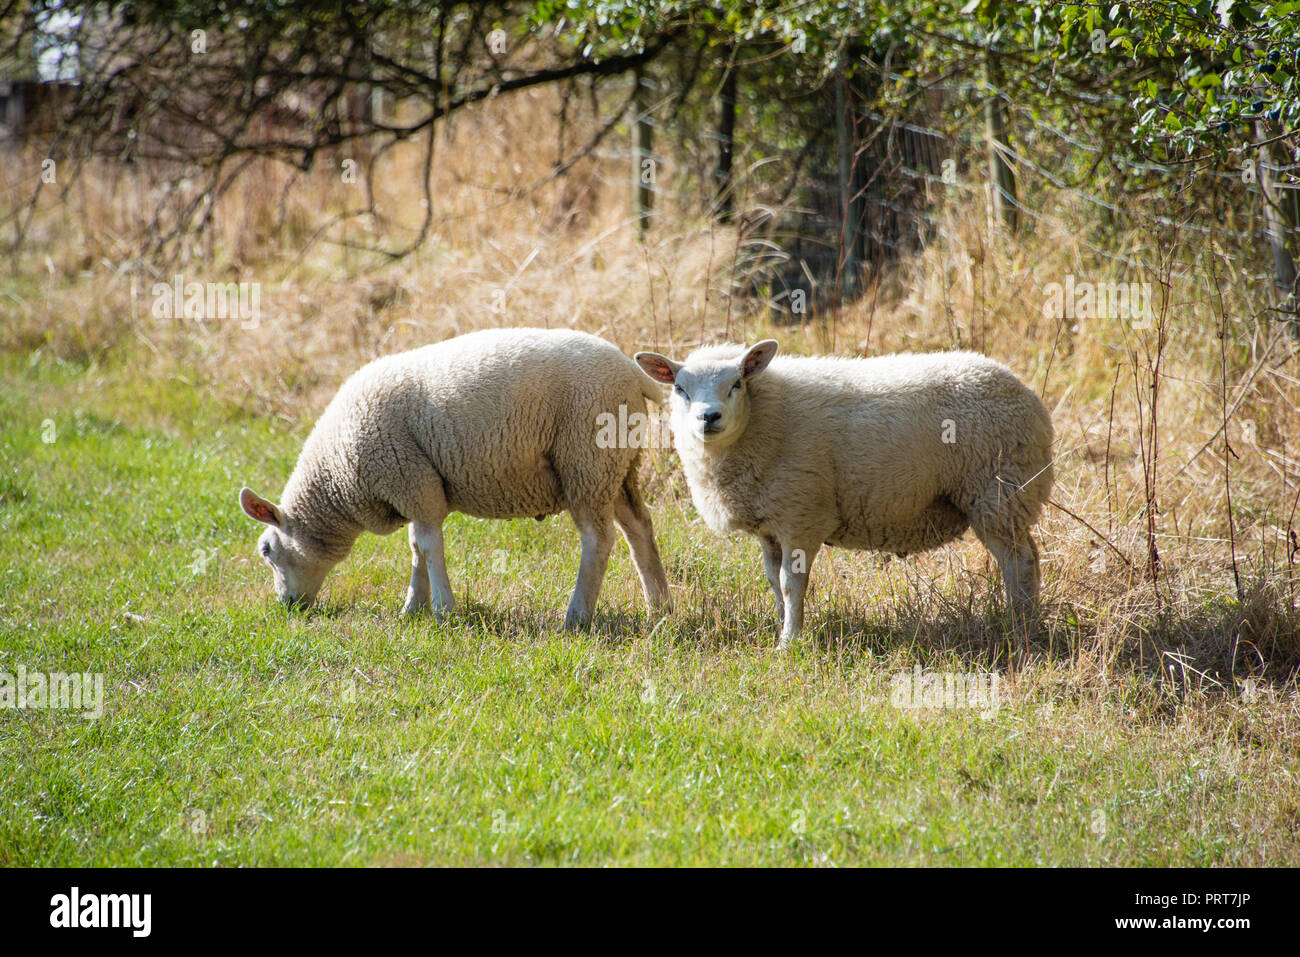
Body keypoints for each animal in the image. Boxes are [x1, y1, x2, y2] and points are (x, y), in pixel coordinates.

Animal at [237, 328, 676, 629]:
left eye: (266, 550)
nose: (287, 607)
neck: (336, 478)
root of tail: (635, 375)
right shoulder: (416, 487)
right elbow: (416, 546)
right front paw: (412, 607)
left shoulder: (410, 479)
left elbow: (429, 546)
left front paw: (443, 610)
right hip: (618, 466)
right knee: (639, 528)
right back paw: (659, 608)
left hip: (585, 459)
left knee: (598, 540)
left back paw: (577, 617)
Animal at [634, 340, 1050, 647]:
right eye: (680, 389)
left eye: (736, 383)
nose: (709, 417)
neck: (762, 420)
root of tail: (1027, 395)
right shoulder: (770, 525)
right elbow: (773, 582)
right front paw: (781, 625)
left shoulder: (801, 516)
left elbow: (791, 584)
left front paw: (790, 642)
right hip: (1004, 496)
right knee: (1029, 557)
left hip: (998, 493)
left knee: (1019, 562)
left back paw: (1021, 625)